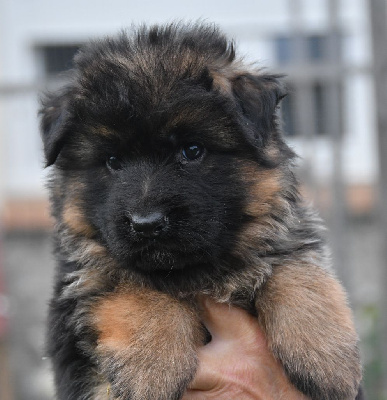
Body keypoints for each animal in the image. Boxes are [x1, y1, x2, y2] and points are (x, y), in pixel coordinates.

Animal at [41, 22, 364, 400]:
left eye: (192, 150)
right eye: (112, 161)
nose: (146, 225)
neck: (199, 273)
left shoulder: (284, 234)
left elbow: (298, 269)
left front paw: (328, 359)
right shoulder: (76, 296)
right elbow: (126, 279)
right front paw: (150, 365)